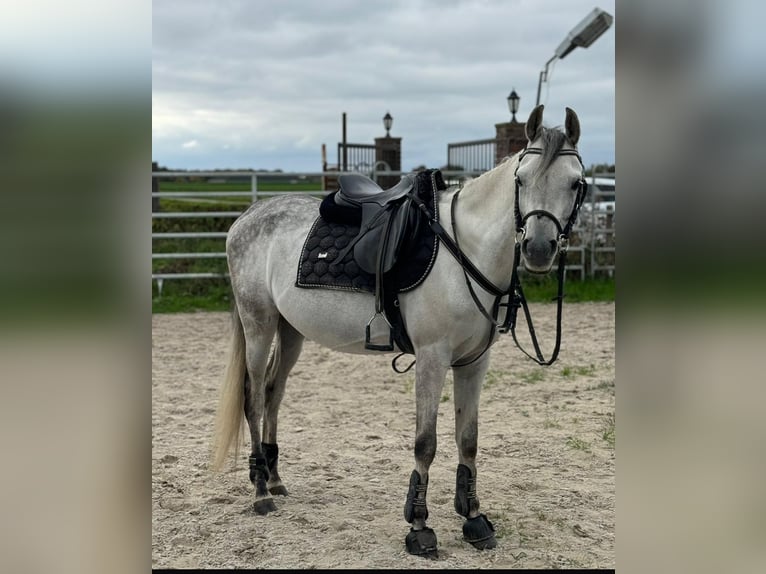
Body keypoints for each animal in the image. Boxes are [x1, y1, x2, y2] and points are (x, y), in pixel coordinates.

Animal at [210, 105, 587, 558]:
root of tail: (247, 217)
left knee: (271, 393)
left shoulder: (474, 363)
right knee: (252, 397)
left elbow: (468, 439)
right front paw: (420, 526)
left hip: (291, 331)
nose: (538, 249)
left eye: (575, 182)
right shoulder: (432, 358)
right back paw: (261, 491)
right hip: (259, 323)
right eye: (521, 179)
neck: (464, 250)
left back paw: (275, 478)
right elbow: (426, 442)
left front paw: (473, 518)